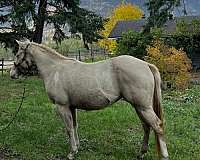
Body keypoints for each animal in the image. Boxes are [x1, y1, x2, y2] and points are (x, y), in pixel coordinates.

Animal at [9, 40, 169, 160]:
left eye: (17, 54)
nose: (12, 74)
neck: (55, 70)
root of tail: (146, 64)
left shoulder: (62, 107)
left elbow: (68, 128)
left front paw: (72, 152)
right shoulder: (71, 107)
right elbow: (74, 126)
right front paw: (77, 148)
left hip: (143, 107)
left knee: (157, 126)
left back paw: (164, 155)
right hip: (139, 107)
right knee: (146, 126)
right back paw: (141, 153)